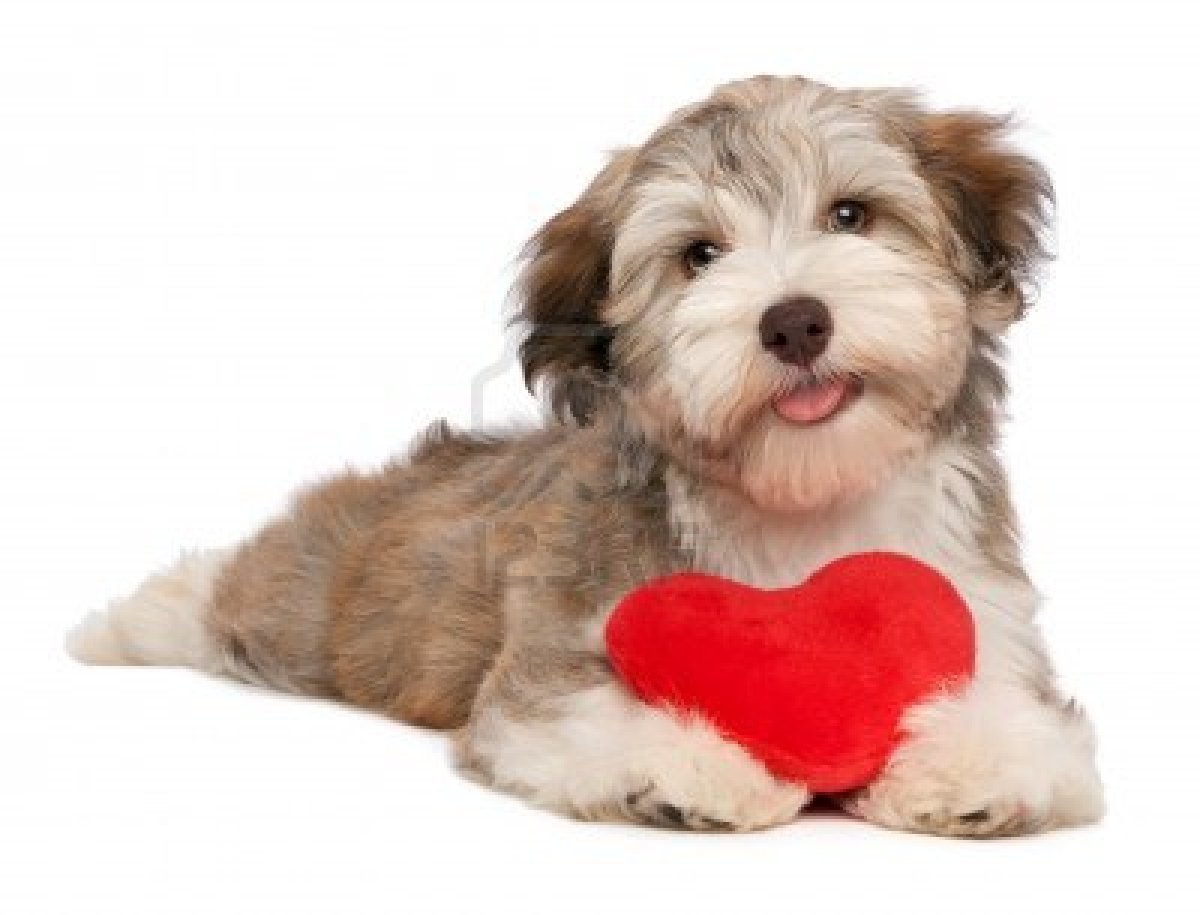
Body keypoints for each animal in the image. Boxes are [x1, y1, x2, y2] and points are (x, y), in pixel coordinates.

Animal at [70, 76, 1104, 835]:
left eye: (852, 216)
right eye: (699, 256)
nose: (795, 320)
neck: (801, 502)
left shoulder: (981, 608)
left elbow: (1024, 717)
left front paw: (971, 763)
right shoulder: (566, 636)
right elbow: (583, 706)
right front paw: (698, 767)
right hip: (319, 601)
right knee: (243, 595)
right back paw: (132, 619)